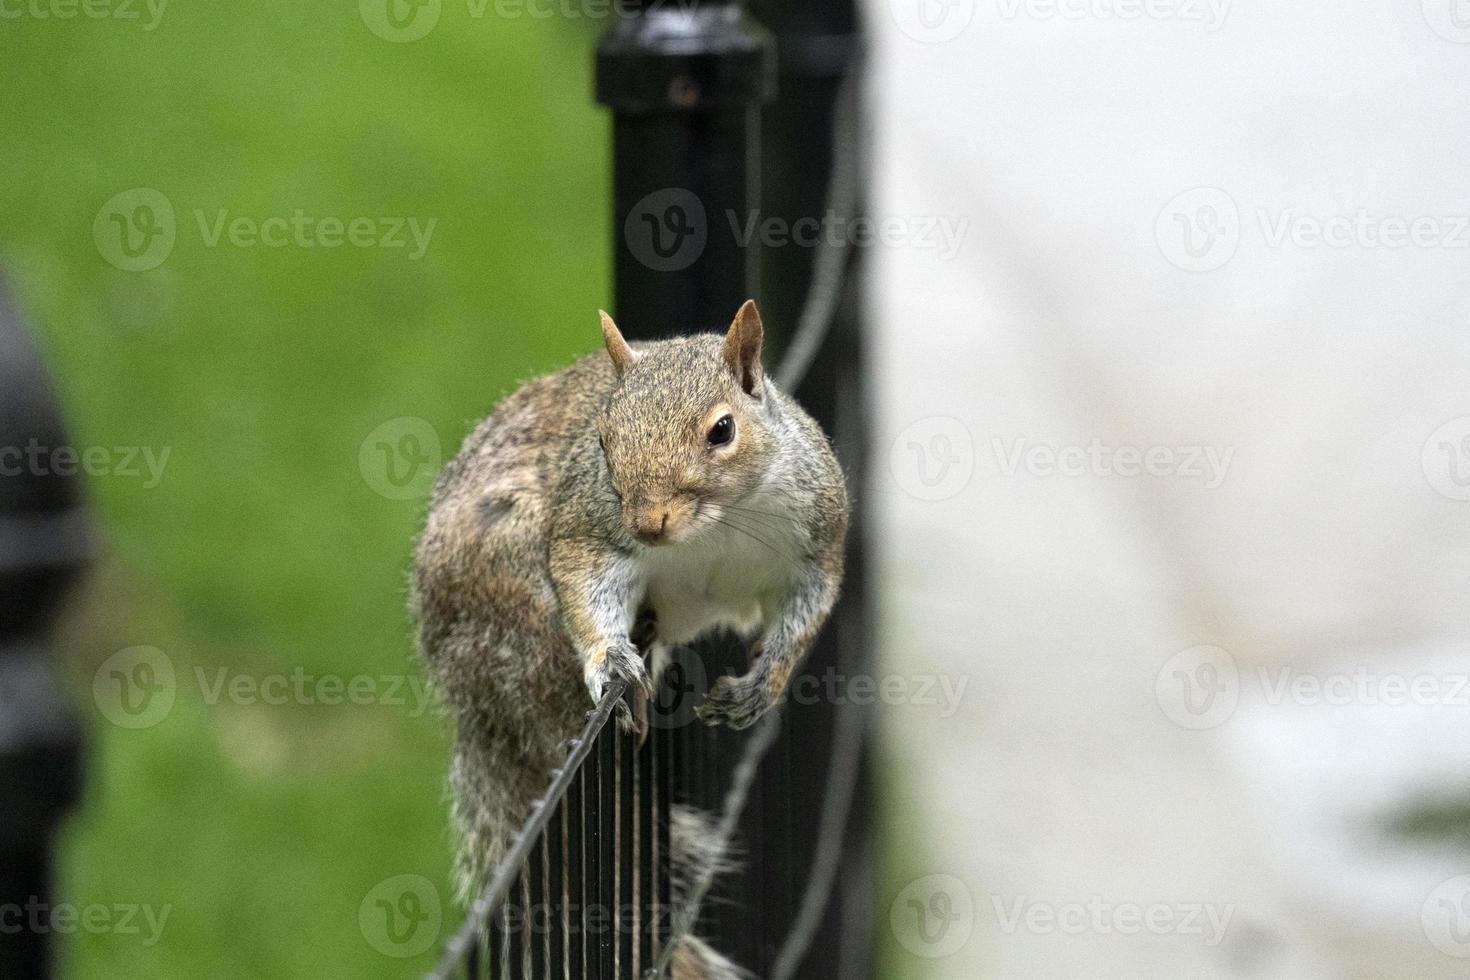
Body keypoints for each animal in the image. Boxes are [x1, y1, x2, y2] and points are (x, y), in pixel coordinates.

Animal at [411, 301, 852, 980]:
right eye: (601, 439)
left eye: (722, 430)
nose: (647, 523)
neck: (715, 527)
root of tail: (474, 700)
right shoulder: (587, 529)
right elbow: (585, 586)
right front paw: (610, 661)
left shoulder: (817, 537)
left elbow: (805, 615)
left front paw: (762, 684)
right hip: (514, 591)